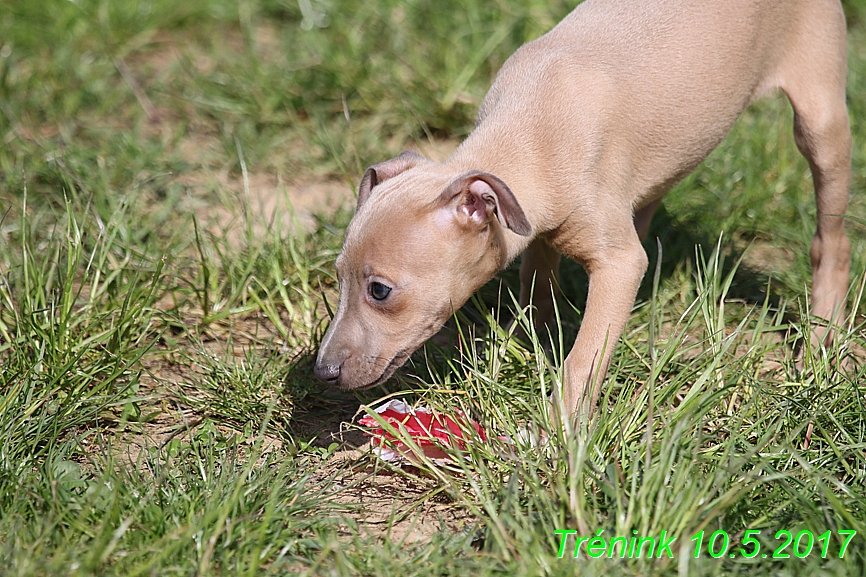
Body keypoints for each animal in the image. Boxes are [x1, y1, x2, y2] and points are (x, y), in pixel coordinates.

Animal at [312, 0, 852, 416]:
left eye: (380, 291)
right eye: (338, 279)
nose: (322, 372)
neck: (529, 128)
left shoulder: (618, 262)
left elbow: (585, 356)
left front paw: (557, 433)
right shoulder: (535, 228)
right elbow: (537, 285)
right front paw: (534, 344)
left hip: (820, 112)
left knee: (833, 242)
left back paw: (822, 345)